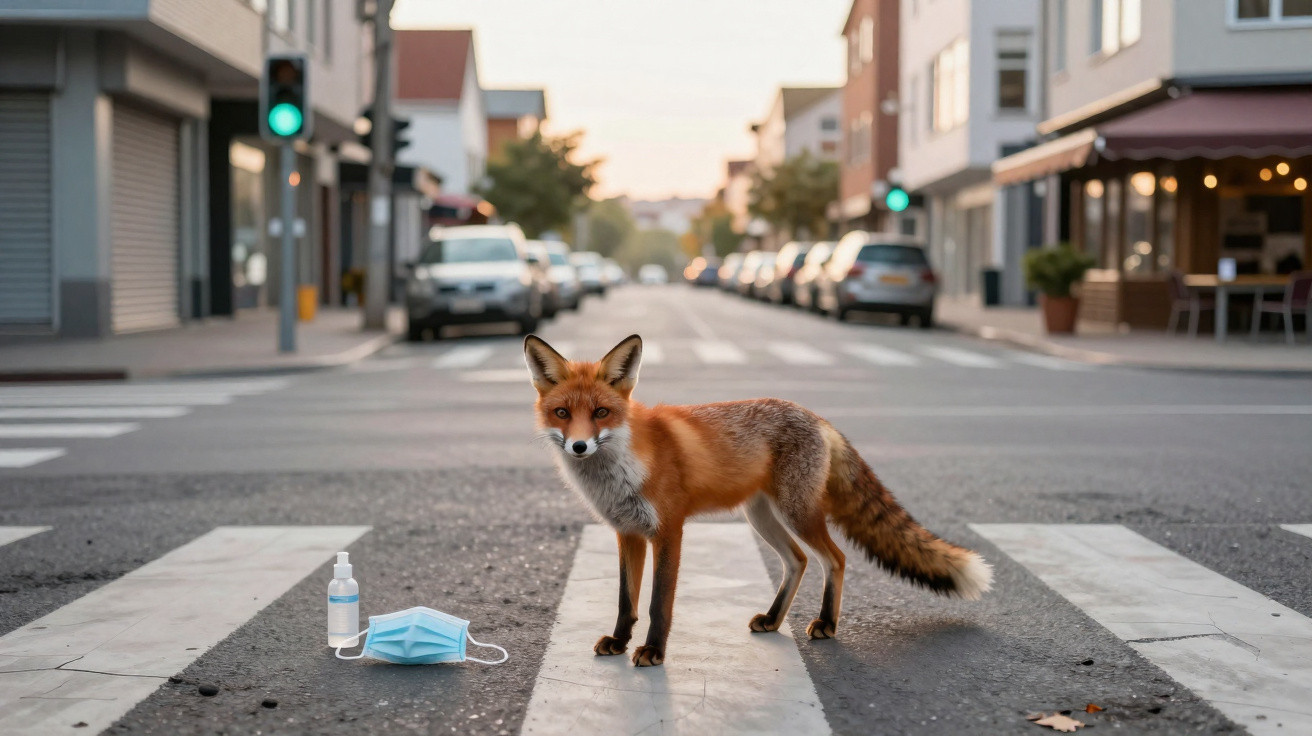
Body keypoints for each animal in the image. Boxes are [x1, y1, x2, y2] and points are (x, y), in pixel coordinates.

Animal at [524, 333, 992, 667]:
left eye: (601, 413)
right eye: (563, 413)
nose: (579, 447)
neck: (621, 468)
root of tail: (815, 415)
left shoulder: (669, 530)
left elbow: (658, 604)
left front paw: (654, 652)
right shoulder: (628, 533)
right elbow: (627, 601)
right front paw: (620, 642)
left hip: (796, 513)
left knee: (835, 558)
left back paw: (827, 623)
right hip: (761, 517)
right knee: (798, 561)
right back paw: (773, 619)